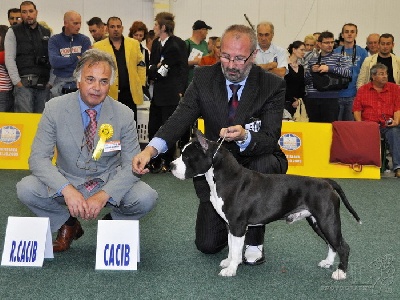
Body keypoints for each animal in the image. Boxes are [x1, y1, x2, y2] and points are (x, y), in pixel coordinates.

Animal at [170, 130, 360, 280]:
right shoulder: (230, 225)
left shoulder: (238, 226)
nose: (171, 165)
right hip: (317, 221)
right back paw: (327, 262)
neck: (224, 177)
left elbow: (237, 249)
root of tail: (326, 182)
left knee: (343, 246)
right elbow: (231, 246)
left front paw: (231, 269)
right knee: (331, 244)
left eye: (187, 157)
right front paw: (228, 262)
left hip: (328, 220)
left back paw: (340, 273)